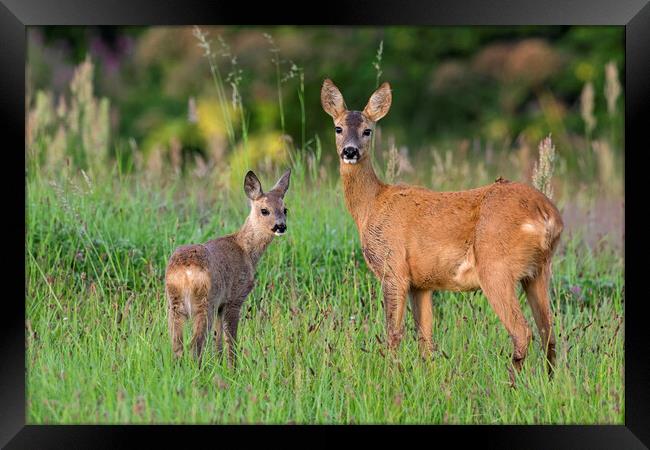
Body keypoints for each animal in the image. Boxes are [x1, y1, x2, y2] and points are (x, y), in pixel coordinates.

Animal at [166, 169, 290, 366]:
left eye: (285, 209)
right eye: (264, 210)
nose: (281, 226)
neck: (246, 250)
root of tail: (185, 271)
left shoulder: (221, 304)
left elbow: (218, 342)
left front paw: (219, 365)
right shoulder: (235, 298)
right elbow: (231, 340)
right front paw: (234, 368)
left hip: (175, 304)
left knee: (177, 345)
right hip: (204, 302)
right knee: (195, 344)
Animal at [320, 80, 560, 380]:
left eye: (368, 130)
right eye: (338, 128)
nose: (350, 151)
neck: (371, 206)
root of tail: (548, 216)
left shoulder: (393, 268)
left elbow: (393, 333)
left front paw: (390, 376)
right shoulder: (421, 284)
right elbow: (425, 339)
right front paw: (426, 378)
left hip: (496, 267)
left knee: (522, 331)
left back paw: (511, 383)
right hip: (538, 270)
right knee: (549, 331)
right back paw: (550, 381)